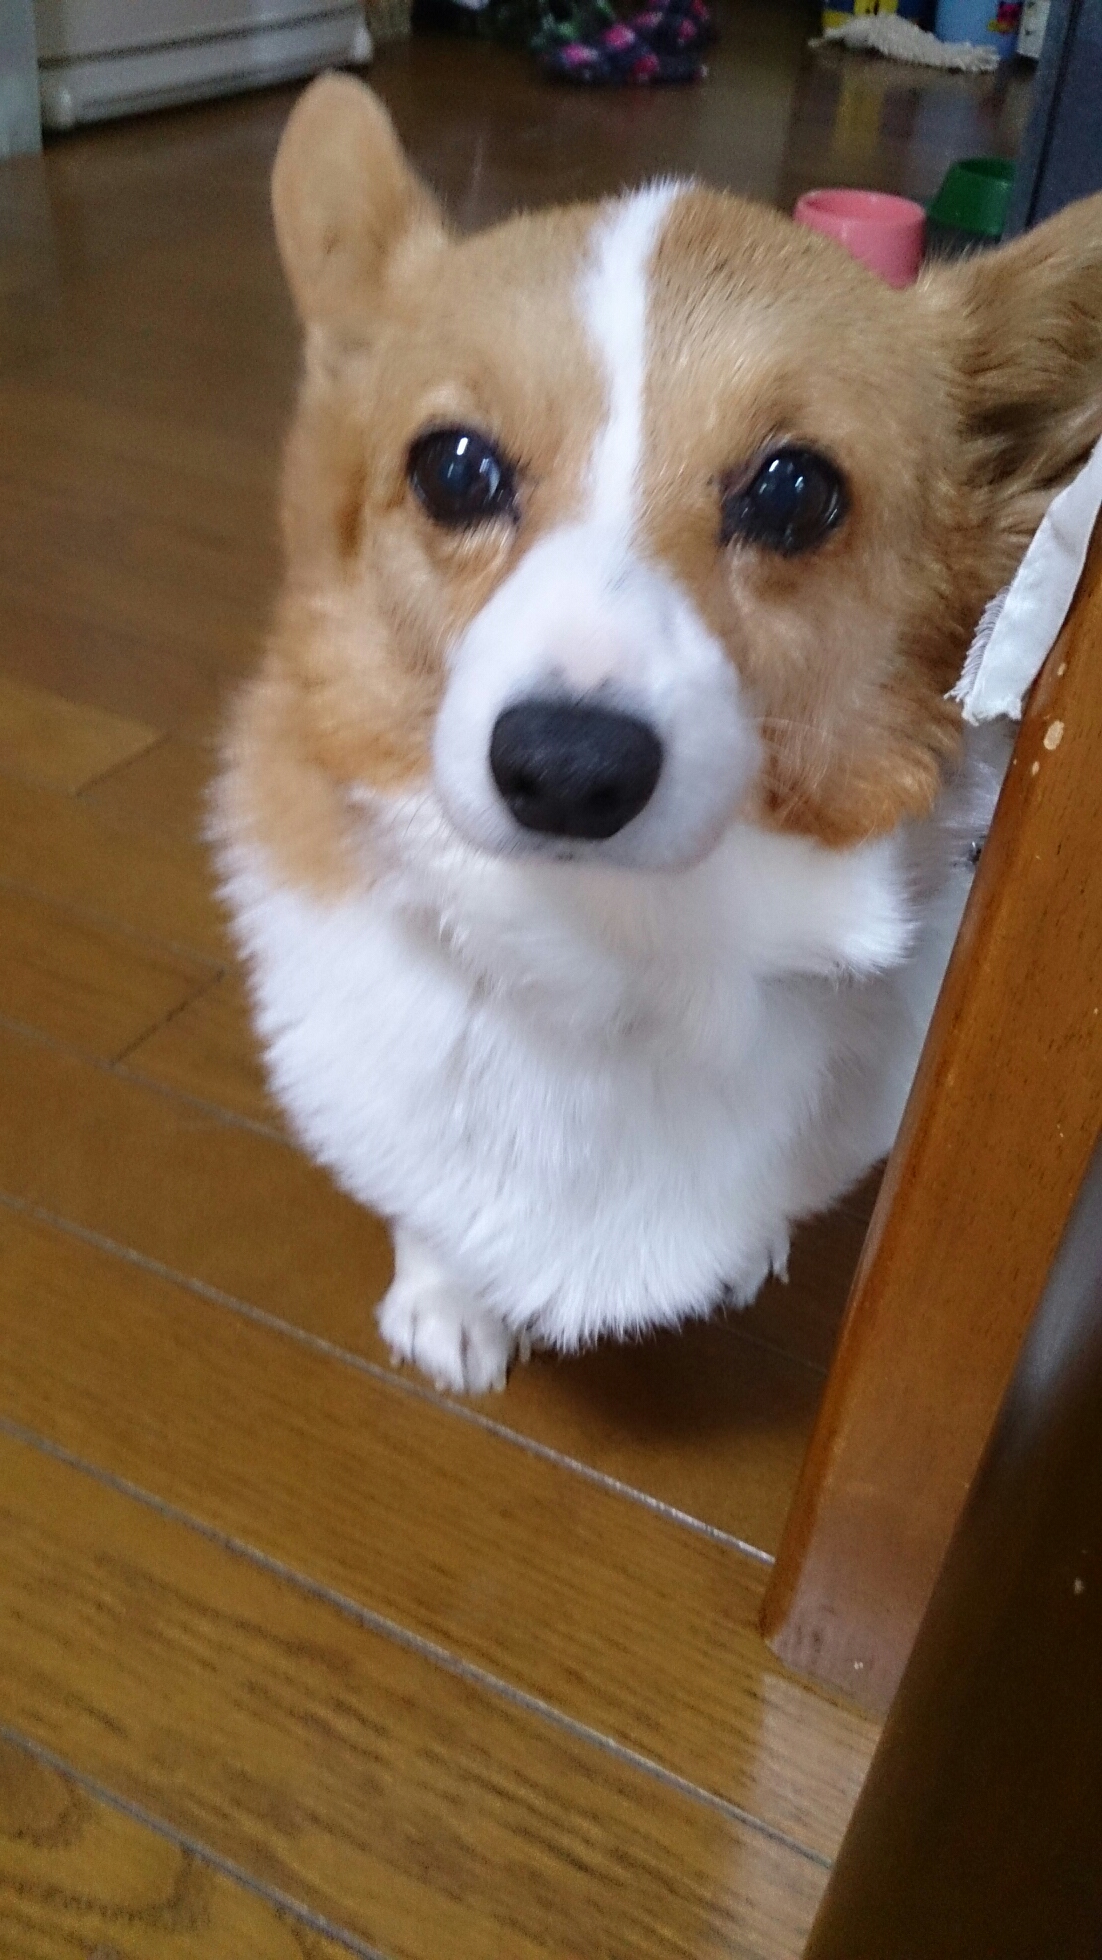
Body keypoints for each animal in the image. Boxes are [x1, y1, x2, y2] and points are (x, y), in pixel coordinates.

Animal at [214, 74, 1102, 1393]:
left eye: (795, 492)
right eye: (454, 469)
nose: (566, 770)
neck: (621, 945)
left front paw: (751, 1253)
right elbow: (428, 1201)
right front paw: (446, 1301)